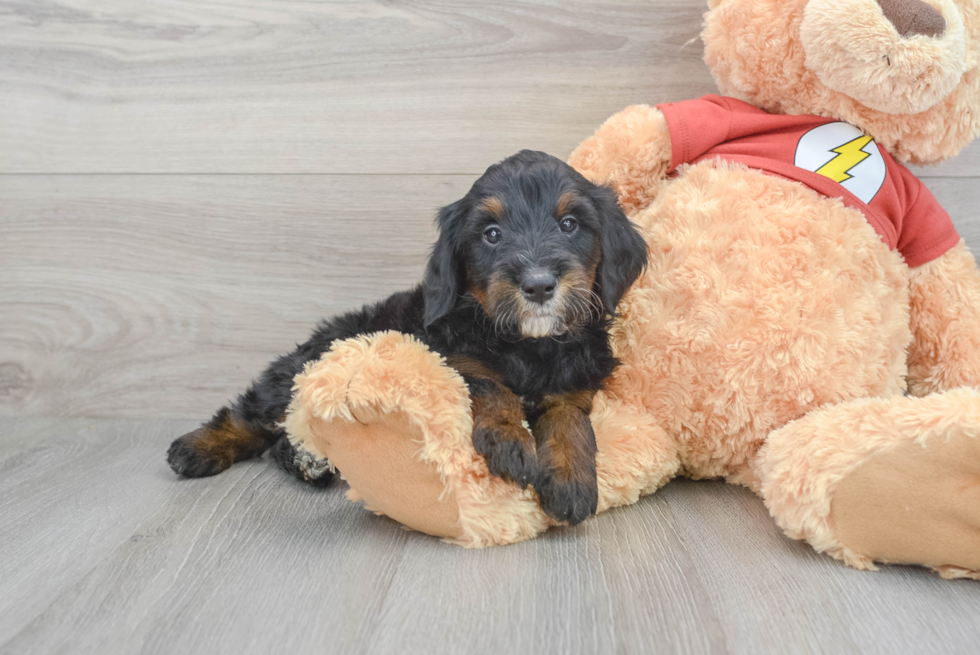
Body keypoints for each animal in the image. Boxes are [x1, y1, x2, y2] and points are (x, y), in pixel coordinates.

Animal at [166, 151, 648, 524]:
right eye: (491, 234)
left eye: (569, 224)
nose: (539, 285)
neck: (532, 345)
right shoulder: (452, 357)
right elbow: (491, 386)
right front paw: (511, 444)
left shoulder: (577, 381)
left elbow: (570, 420)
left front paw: (570, 481)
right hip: (309, 364)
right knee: (253, 414)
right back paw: (196, 448)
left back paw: (308, 461)